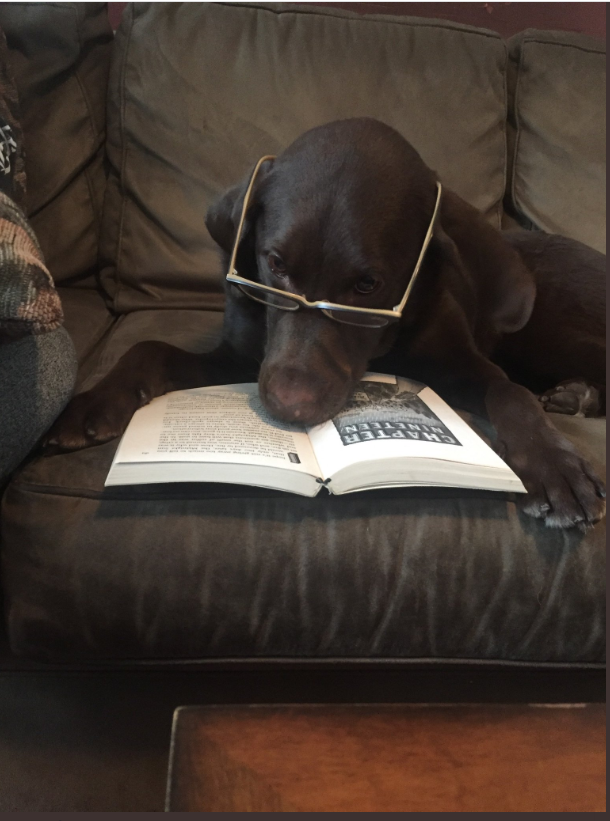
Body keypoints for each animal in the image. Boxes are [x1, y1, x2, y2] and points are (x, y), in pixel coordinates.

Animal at [44, 118, 604, 528]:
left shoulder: (462, 362)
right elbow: (148, 347)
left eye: (368, 285)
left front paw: (553, 463)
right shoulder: (240, 358)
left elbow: (511, 392)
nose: (290, 407)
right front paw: (92, 403)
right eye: (275, 263)